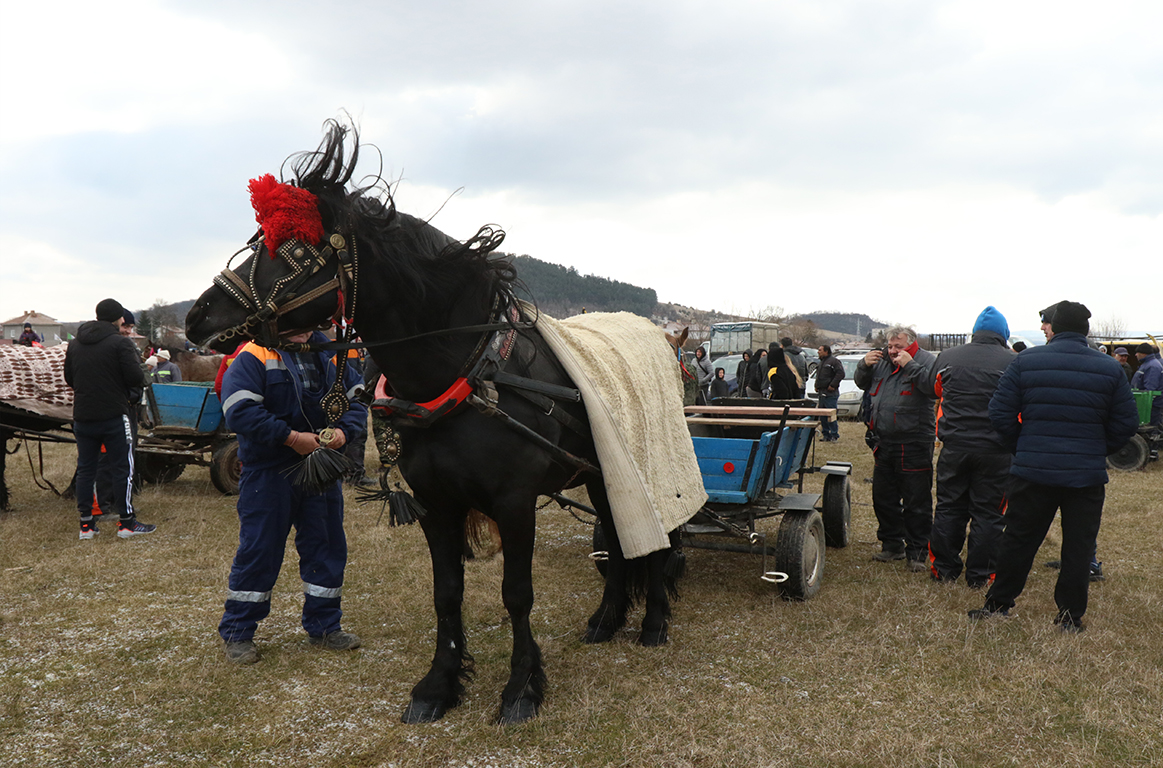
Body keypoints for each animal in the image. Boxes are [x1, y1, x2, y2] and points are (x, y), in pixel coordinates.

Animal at [183, 121, 679, 726]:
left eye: (293, 251)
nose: (197, 316)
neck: (466, 374)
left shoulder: (515, 502)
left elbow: (517, 593)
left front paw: (521, 688)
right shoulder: (436, 503)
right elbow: (447, 593)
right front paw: (439, 684)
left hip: (641, 466)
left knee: (657, 540)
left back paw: (654, 622)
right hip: (601, 471)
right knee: (619, 536)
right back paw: (606, 620)